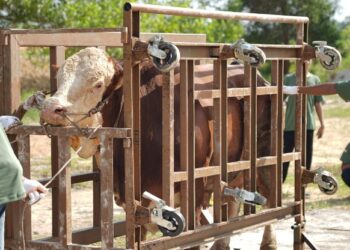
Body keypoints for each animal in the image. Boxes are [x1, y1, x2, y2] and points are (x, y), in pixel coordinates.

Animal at [40, 47, 276, 249]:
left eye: (98, 84)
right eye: (59, 80)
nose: (51, 108)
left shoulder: (194, 192)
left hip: (265, 162)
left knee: (269, 201)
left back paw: (268, 242)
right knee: (231, 203)